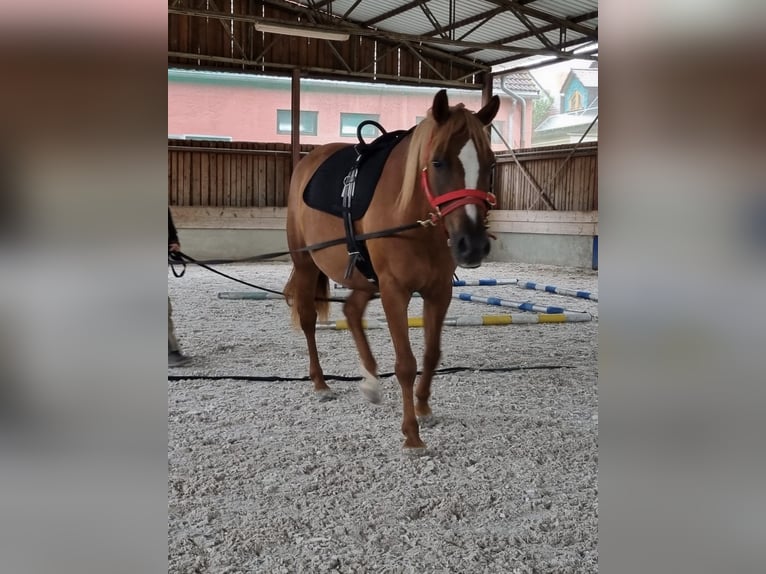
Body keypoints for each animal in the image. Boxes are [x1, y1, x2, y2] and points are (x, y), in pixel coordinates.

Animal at [284, 89, 500, 450]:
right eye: (438, 161)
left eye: (491, 163)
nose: (471, 245)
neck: (413, 218)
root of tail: (307, 162)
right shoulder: (395, 291)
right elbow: (406, 364)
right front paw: (411, 434)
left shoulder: (439, 291)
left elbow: (431, 354)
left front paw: (424, 407)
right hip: (306, 266)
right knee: (309, 320)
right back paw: (320, 384)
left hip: (365, 279)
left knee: (352, 311)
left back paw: (371, 380)